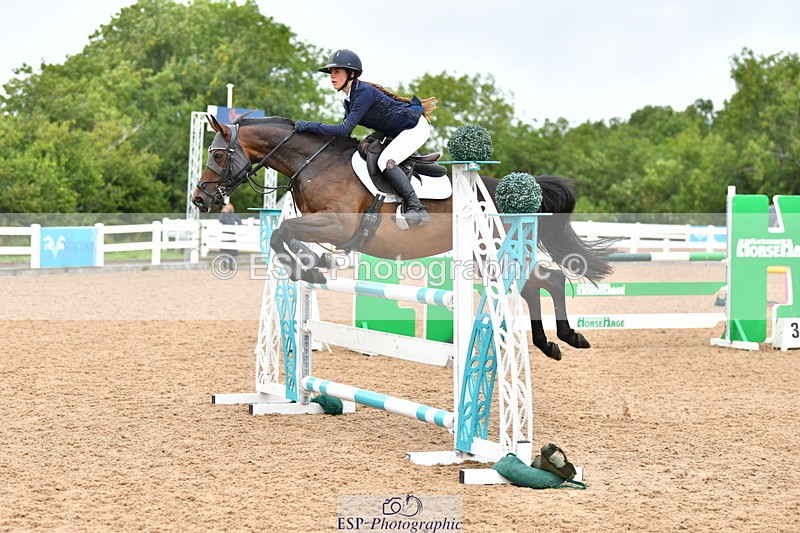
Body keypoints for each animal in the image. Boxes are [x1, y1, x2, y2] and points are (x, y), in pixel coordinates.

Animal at [193, 115, 615, 361]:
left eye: (217, 155)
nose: (199, 199)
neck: (314, 163)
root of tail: (511, 190)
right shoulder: (317, 222)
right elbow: (282, 237)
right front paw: (313, 266)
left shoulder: (338, 225)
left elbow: (282, 233)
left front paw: (312, 267)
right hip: (488, 258)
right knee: (538, 284)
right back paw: (553, 342)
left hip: (492, 252)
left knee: (547, 280)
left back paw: (565, 338)